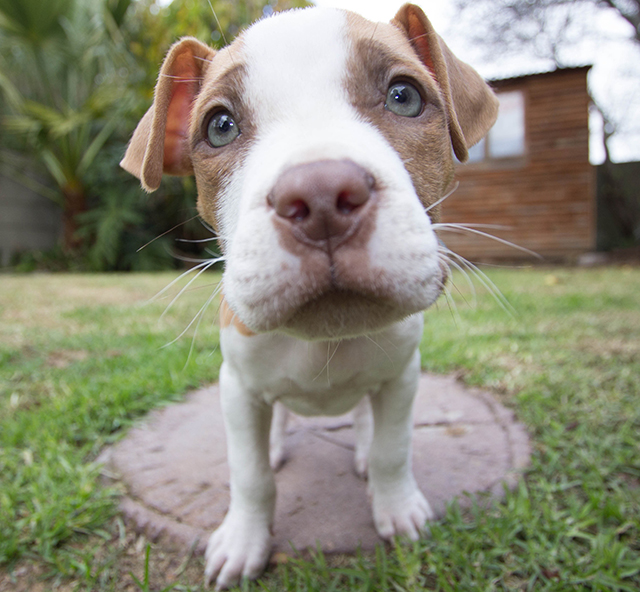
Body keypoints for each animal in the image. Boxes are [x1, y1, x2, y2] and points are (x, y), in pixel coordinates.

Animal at [121, 3, 500, 588]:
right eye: (219, 126)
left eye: (404, 96)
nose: (321, 195)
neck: (324, 340)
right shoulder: (237, 387)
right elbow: (249, 473)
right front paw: (244, 539)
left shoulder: (403, 376)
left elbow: (393, 448)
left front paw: (396, 508)